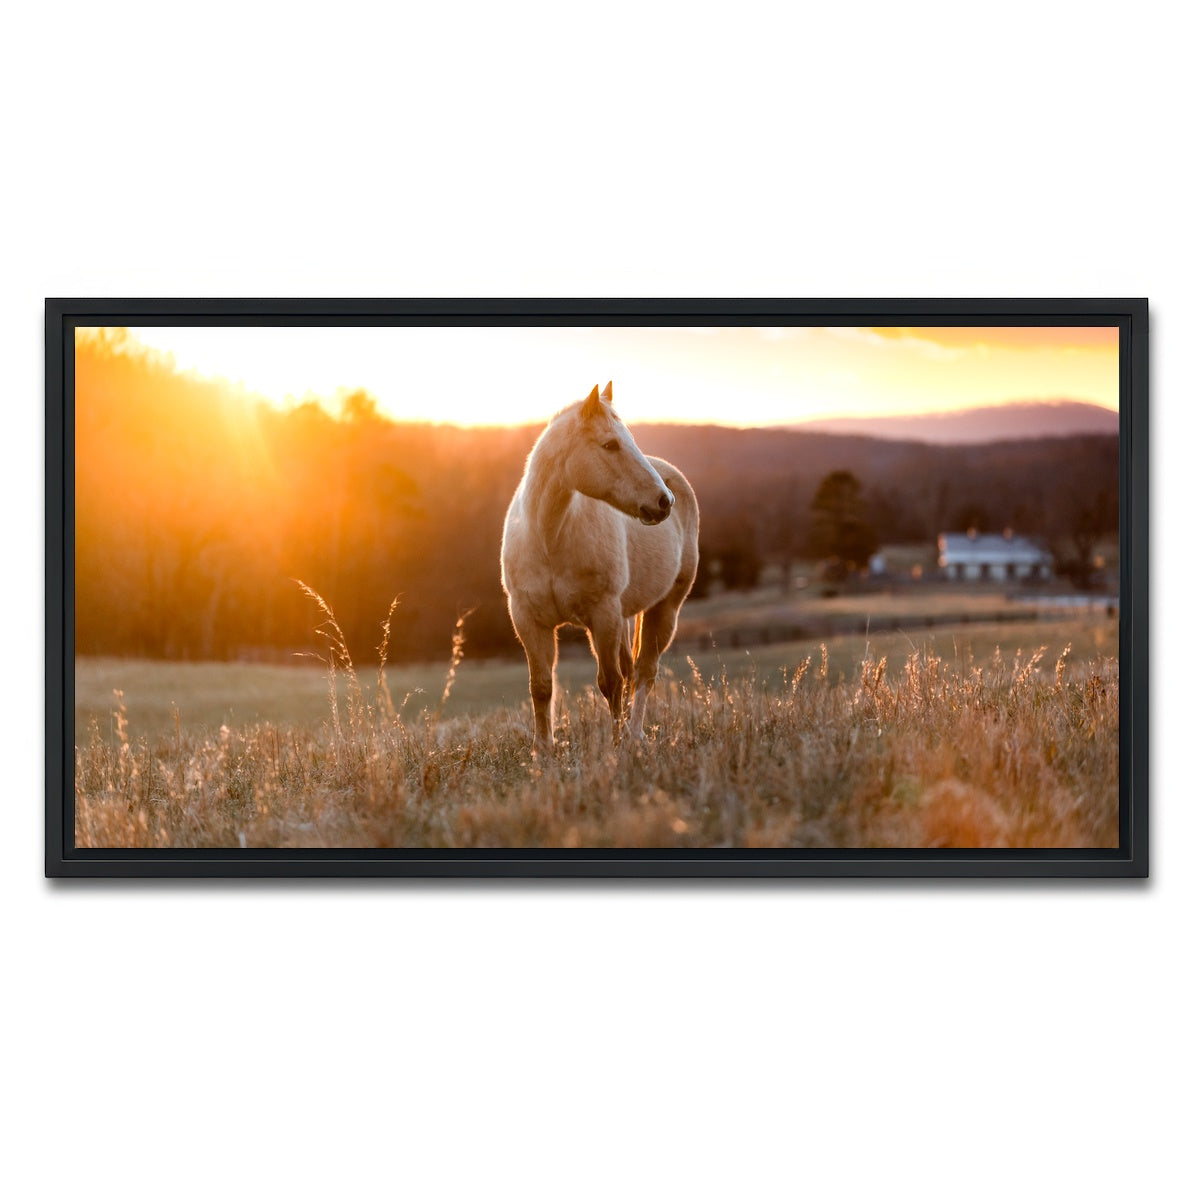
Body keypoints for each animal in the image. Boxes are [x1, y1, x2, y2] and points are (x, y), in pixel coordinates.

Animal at [501, 382, 699, 754]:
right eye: (610, 444)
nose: (663, 501)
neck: (550, 537)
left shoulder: (602, 615)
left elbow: (611, 682)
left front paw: (616, 744)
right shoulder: (528, 620)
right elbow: (541, 685)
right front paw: (542, 750)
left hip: (664, 609)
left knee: (644, 671)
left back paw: (635, 734)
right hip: (624, 615)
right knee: (632, 669)